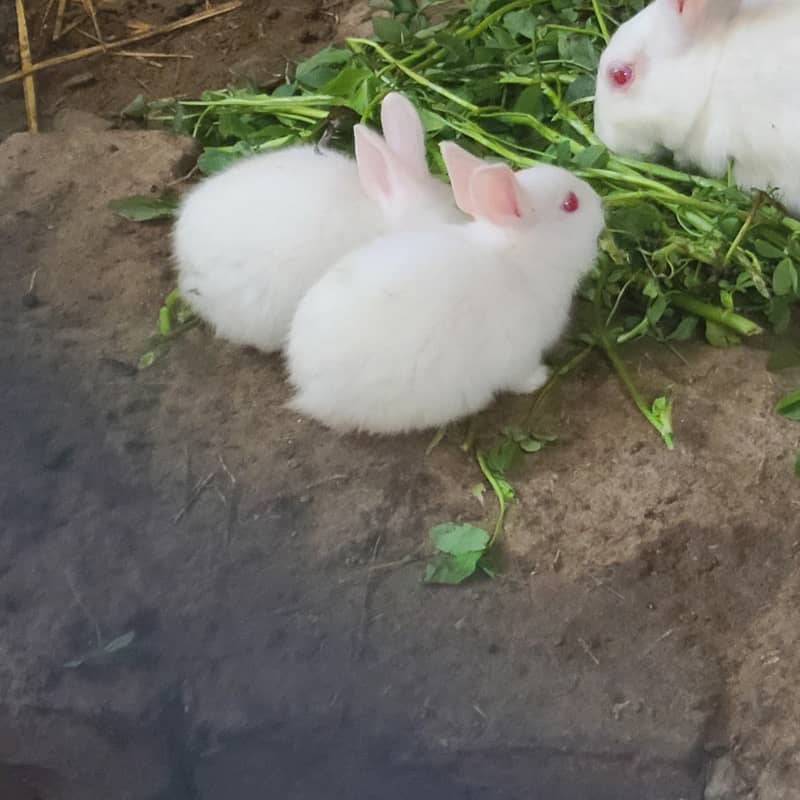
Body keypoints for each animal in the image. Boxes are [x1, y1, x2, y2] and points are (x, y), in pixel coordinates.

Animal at [285, 143, 605, 434]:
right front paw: (539, 379)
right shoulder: (520, 354)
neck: (522, 258)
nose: (601, 204)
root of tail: (307, 387)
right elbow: (520, 376)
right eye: (571, 203)